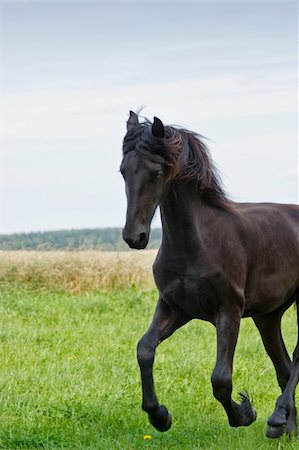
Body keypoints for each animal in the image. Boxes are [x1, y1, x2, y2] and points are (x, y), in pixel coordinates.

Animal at [120, 110, 299, 438]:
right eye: (123, 171)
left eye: (155, 173)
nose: (134, 237)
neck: (196, 245)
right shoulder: (174, 308)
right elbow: (145, 350)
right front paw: (160, 416)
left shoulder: (228, 311)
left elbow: (221, 380)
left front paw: (245, 413)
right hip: (268, 314)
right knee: (284, 365)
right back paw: (287, 429)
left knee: (296, 357)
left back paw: (276, 419)